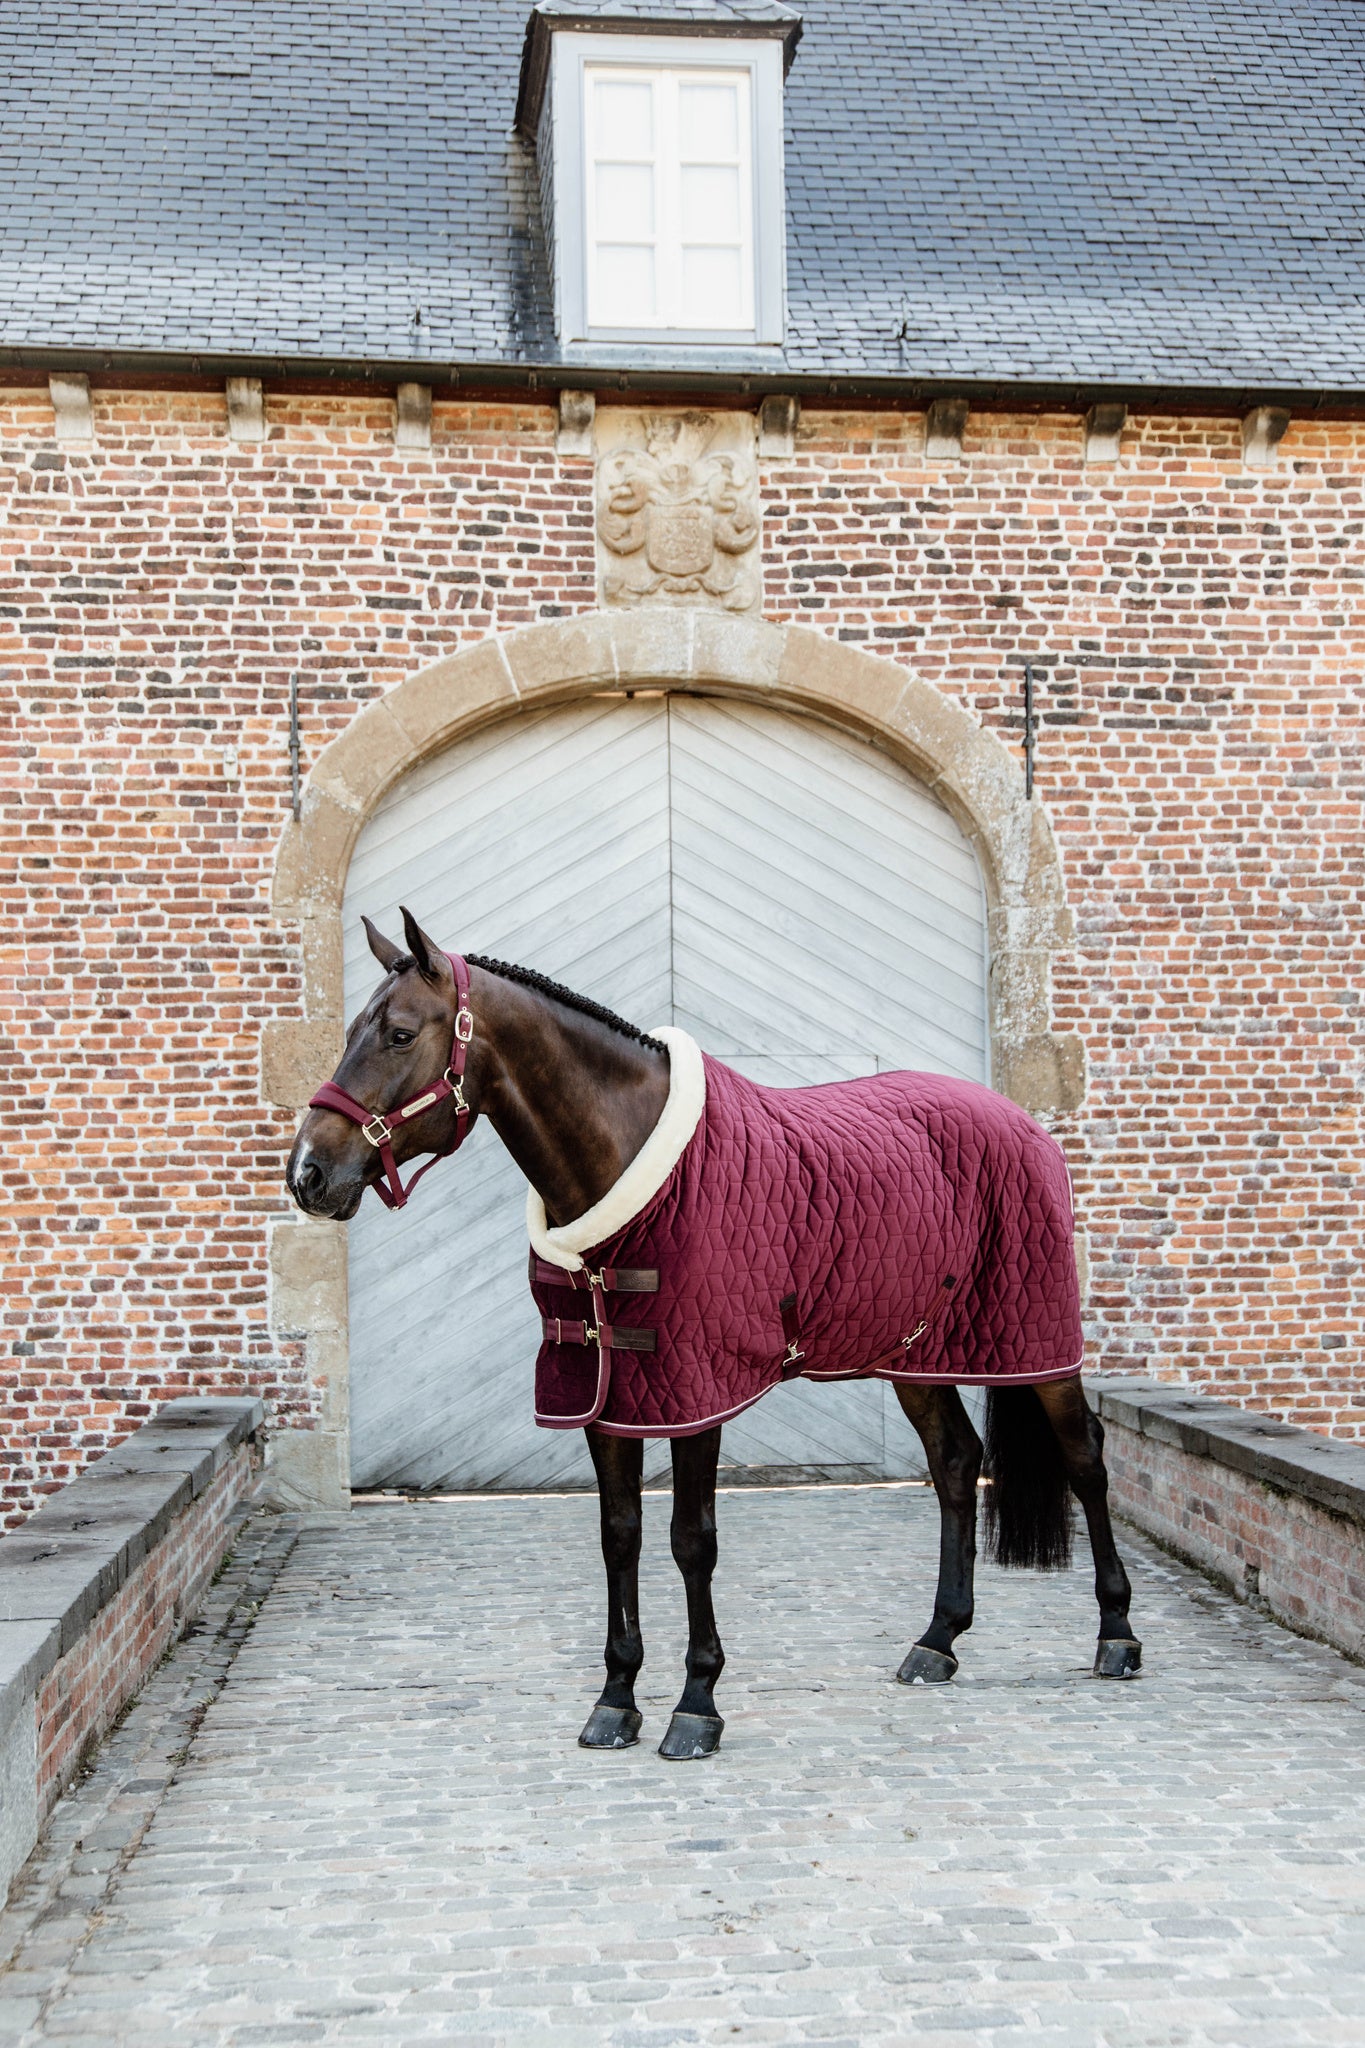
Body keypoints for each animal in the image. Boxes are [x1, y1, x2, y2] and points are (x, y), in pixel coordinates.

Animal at [286, 907, 1141, 1761]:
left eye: (399, 1034)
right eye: (350, 1031)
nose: (308, 1174)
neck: (627, 1165)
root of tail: (1024, 1124)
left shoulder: (694, 1392)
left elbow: (691, 1539)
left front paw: (696, 1704)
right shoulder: (604, 1394)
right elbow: (620, 1536)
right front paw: (615, 1699)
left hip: (1036, 1345)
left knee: (1085, 1459)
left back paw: (1116, 1635)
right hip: (911, 1353)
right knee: (956, 1463)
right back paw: (936, 1642)